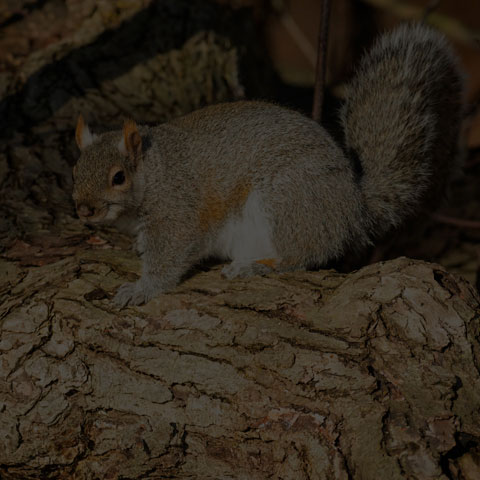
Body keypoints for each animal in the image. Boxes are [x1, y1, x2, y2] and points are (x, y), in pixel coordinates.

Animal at [72, 22, 464, 306]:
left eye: (118, 177)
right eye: (75, 172)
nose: (84, 210)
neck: (154, 172)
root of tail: (353, 207)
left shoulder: (176, 212)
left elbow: (169, 256)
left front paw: (141, 288)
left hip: (286, 201)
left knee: (304, 255)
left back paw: (255, 268)